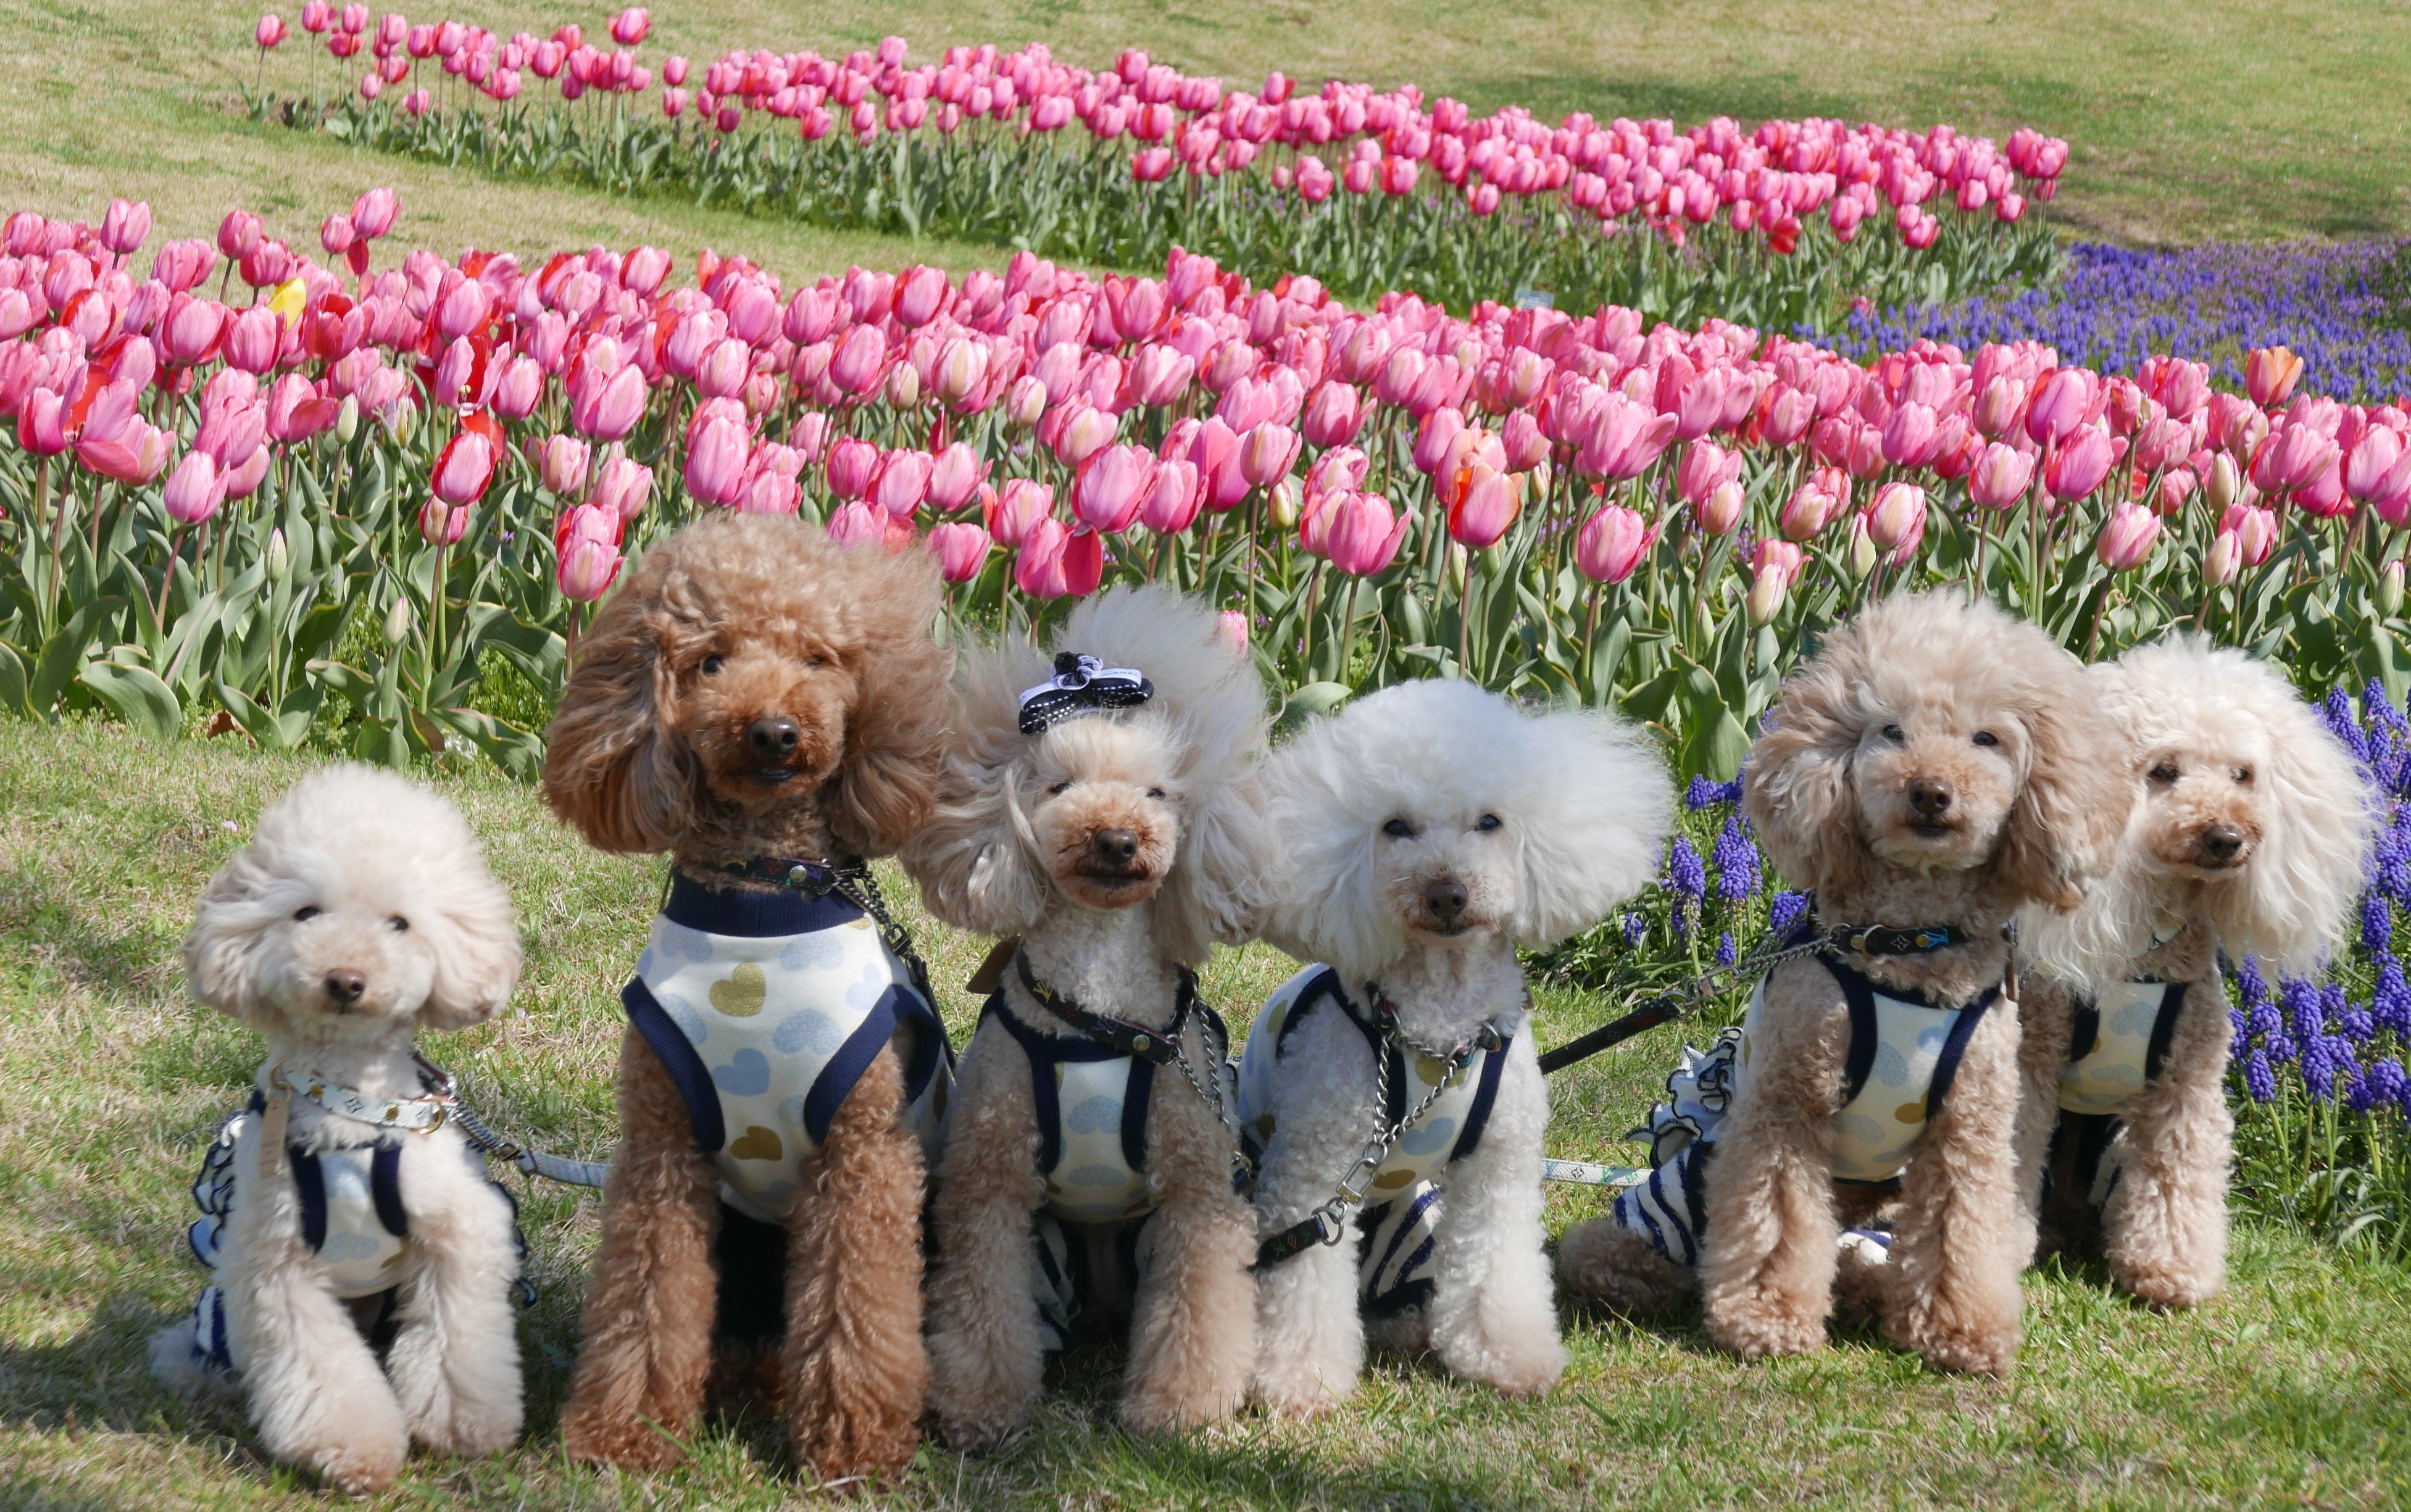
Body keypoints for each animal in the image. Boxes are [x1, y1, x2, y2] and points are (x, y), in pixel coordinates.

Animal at [155, 766, 528, 1505]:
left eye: (400, 922)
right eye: (307, 913)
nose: (345, 980)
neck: (350, 1109)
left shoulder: (458, 1230)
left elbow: (458, 1340)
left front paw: (462, 1428)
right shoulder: (273, 1263)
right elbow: (321, 1369)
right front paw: (353, 1453)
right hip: (225, 1310)